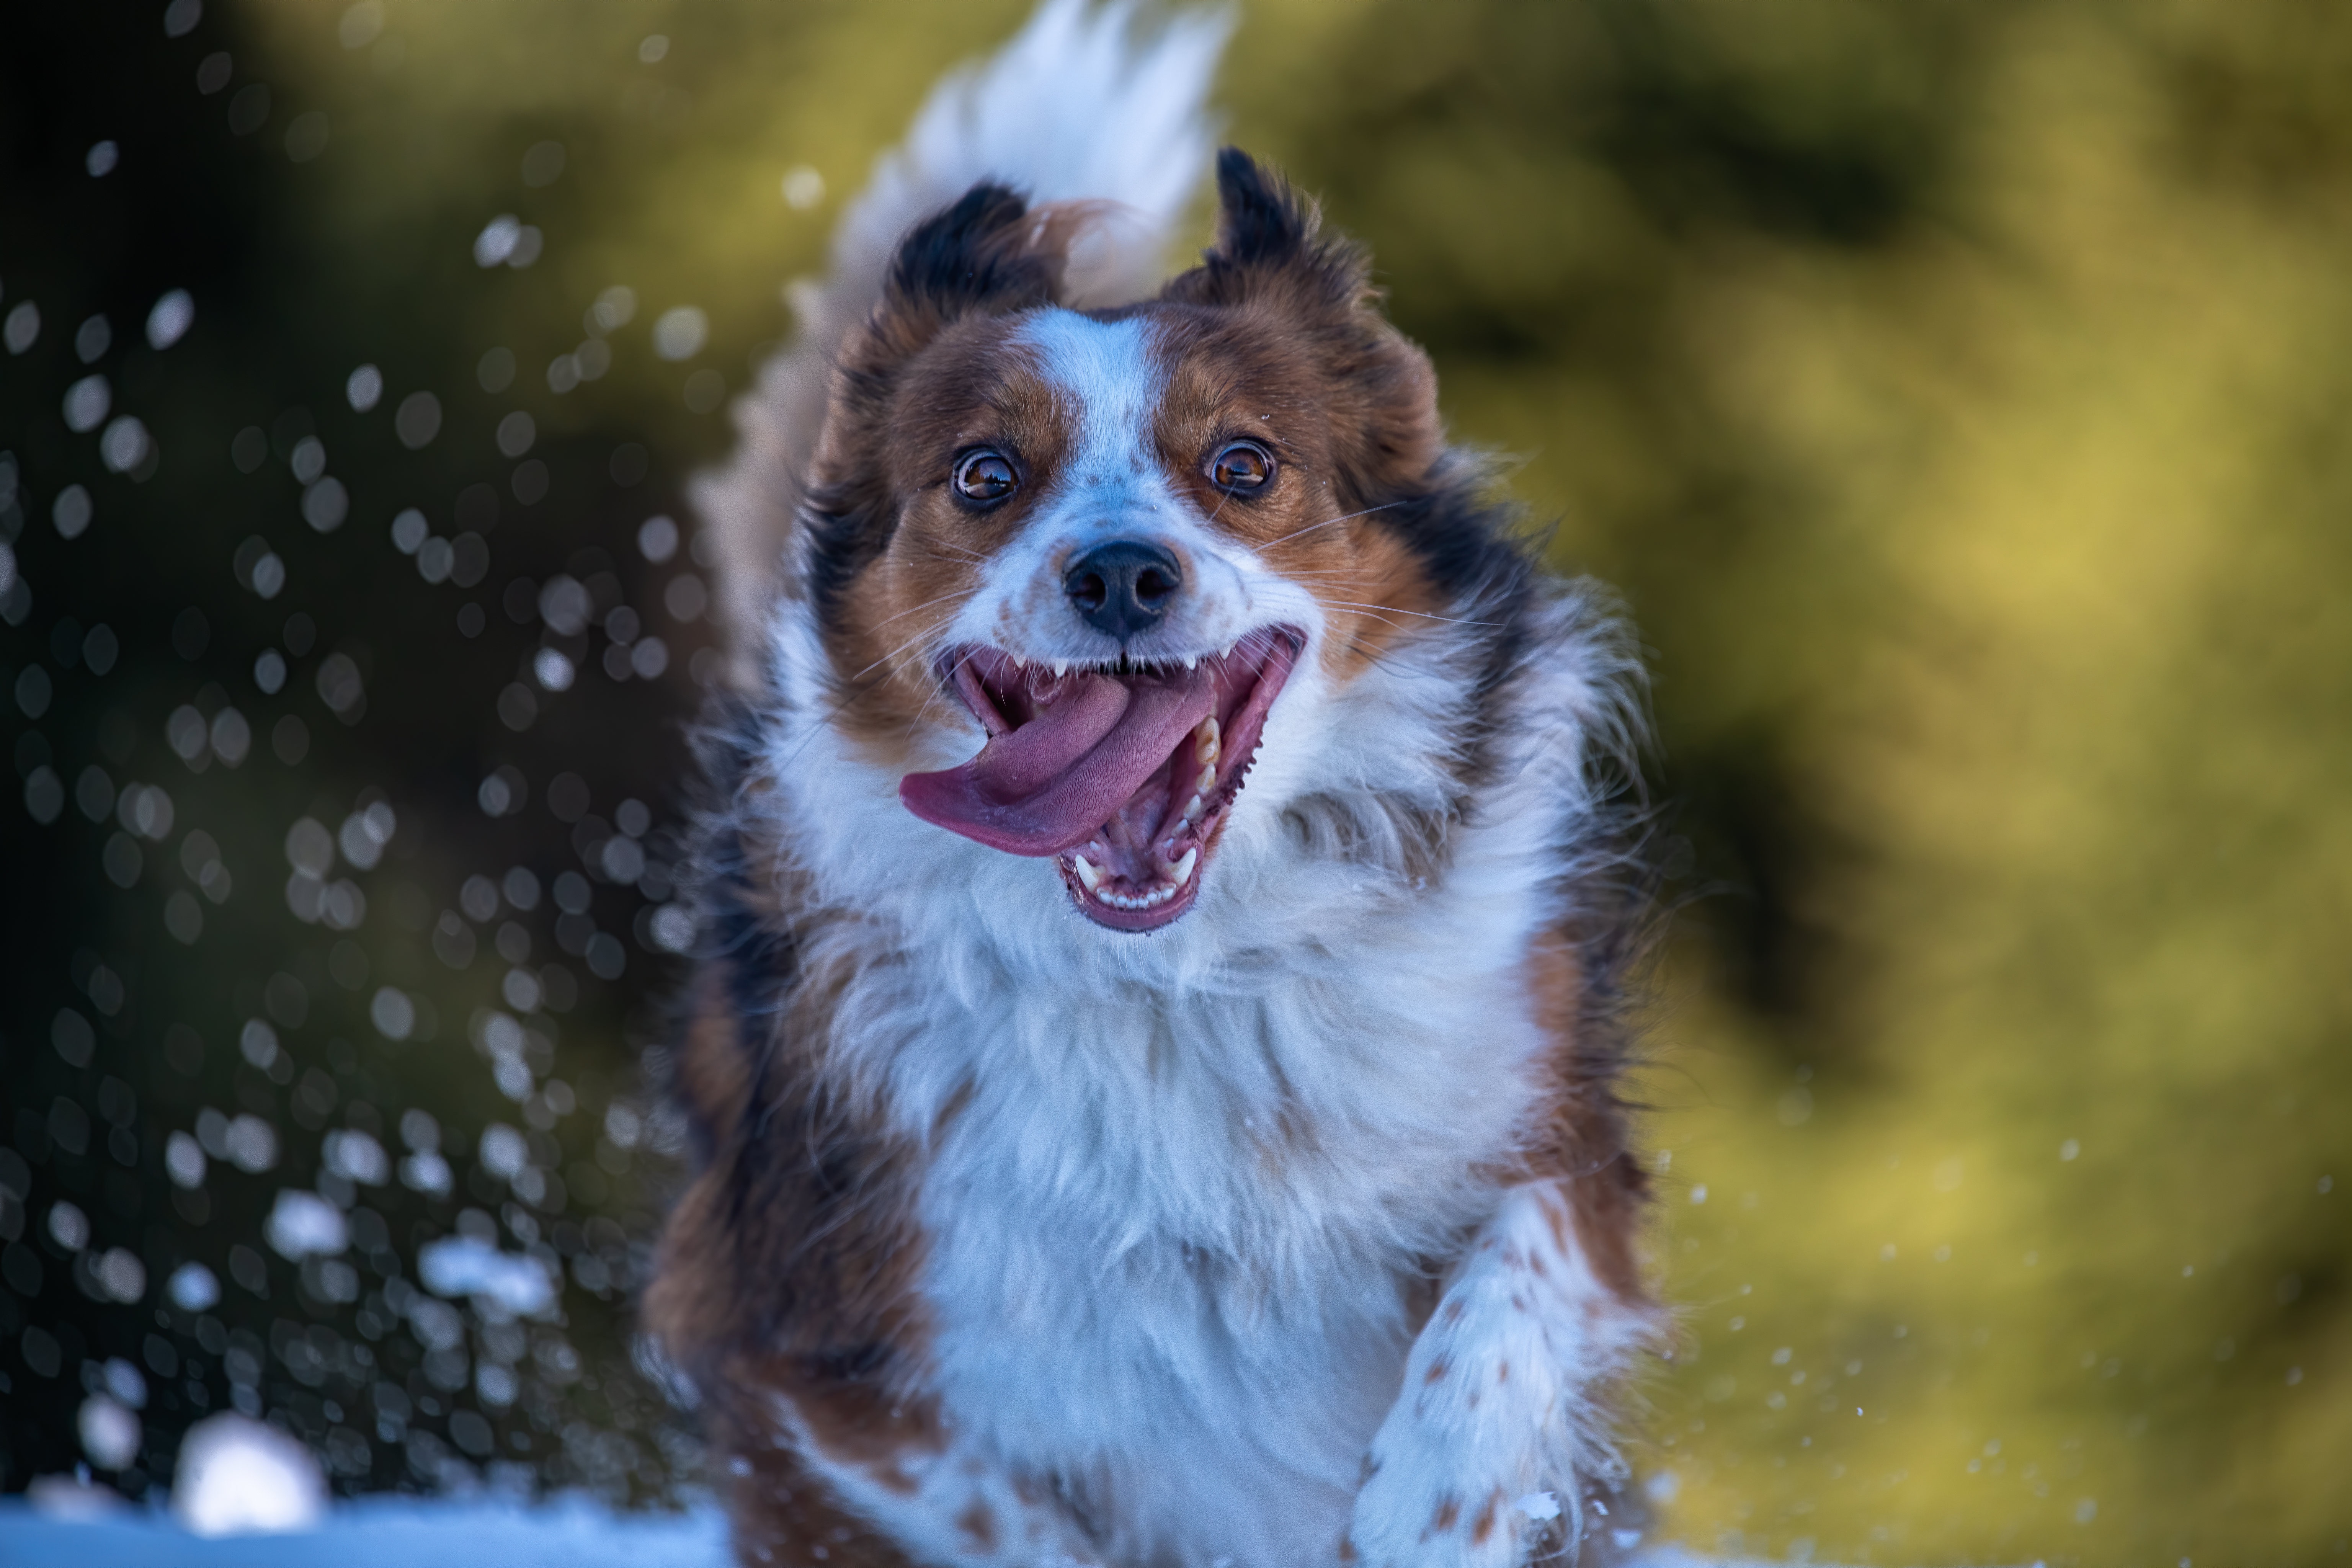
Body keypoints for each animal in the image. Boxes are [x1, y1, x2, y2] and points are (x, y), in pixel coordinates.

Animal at [654, 6, 1665, 1561]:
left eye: (1242, 465)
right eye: (983, 475)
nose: (1122, 573)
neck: (1175, 976)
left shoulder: (1550, 1119)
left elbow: (1522, 1253)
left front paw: (1440, 1497)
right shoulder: (790, 1343)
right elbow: (1006, 1508)